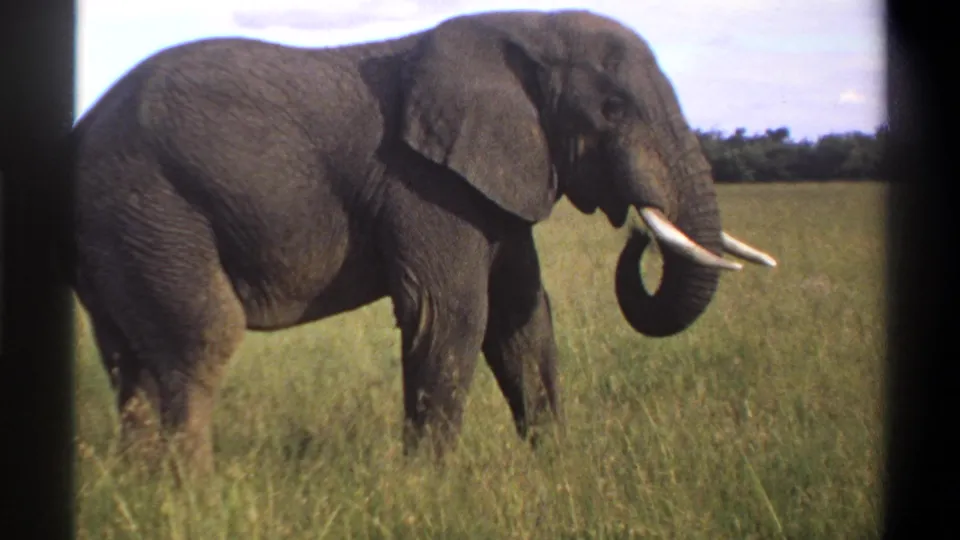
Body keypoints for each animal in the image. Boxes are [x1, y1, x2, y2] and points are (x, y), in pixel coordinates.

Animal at [66, 9, 777, 472]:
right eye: (614, 110)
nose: (636, 232)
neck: (527, 28)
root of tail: (81, 129)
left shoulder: (492, 183)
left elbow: (523, 322)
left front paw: (555, 468)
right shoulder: (424, 185)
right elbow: (452, 316)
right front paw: (429, 489)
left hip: (118, 229)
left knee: (130, 361)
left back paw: (143, 491)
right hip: (150, 203)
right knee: (199, 340)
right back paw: (194, 495)